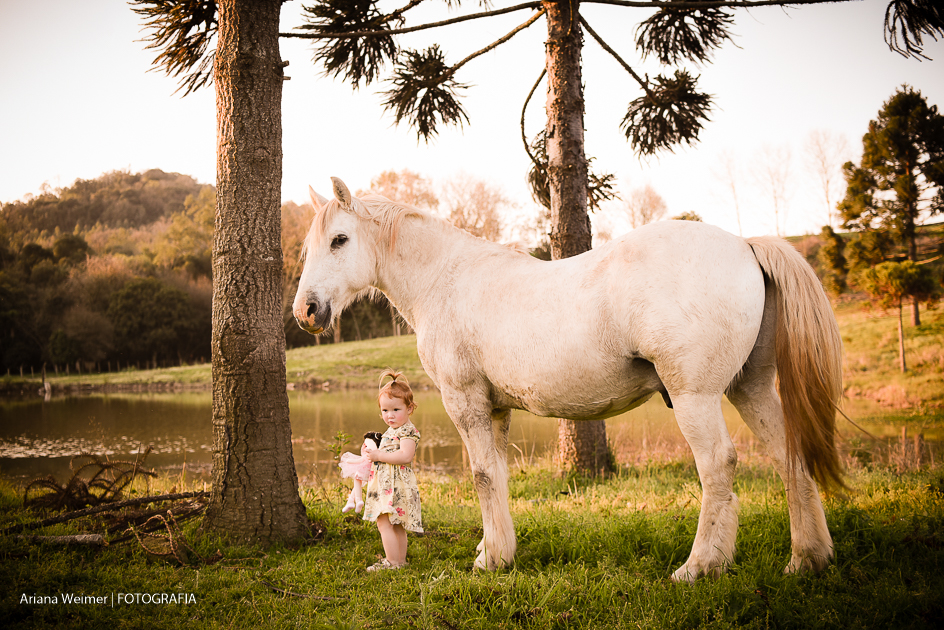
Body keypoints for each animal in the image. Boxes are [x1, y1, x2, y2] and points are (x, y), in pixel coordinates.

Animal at [293, 177, 844, 582]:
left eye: (340, 240)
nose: (307, 311)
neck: (445, 280)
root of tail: (744, 245)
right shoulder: (496, 408)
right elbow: (498, 475)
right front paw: (493, 550)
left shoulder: (465, 401)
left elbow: (482, 475)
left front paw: (491, 560)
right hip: (750, 388)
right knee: (790, 456)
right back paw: (806, 559)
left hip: (697, 397)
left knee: (717, 467)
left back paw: (698, 566)